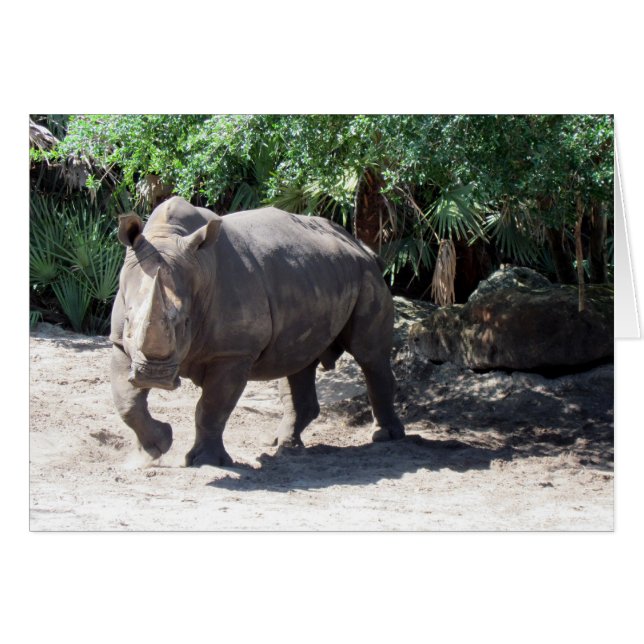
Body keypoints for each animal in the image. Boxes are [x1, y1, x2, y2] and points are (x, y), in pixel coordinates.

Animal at [110, 196, 404, 466]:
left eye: (185, 323)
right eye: (128, 321)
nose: (154, 376)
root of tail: (361, 247)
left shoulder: (234, 352)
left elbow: (211, 407)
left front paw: (205, 462)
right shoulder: (120, 344)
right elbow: (127, 402)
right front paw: (153, 450)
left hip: (366, 276)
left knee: (369, 355)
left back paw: (385, 436)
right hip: (314, 278)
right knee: (297, 362)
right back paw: (285, 448)